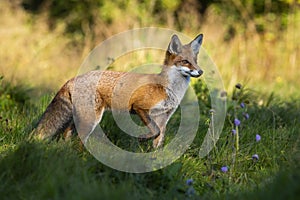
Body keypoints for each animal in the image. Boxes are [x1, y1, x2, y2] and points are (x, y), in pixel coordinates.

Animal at [33, 33, 204, 148]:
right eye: (185, 62)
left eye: (195, 61)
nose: (200, 71)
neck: (169, 89)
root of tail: (73, 78)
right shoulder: (140, 107)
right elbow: (154, 132)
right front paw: (142, 138)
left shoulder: (163, 118)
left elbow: (158, 141)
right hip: (91, 119)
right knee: (79, 140)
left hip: (82, 118)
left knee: (66, 135)